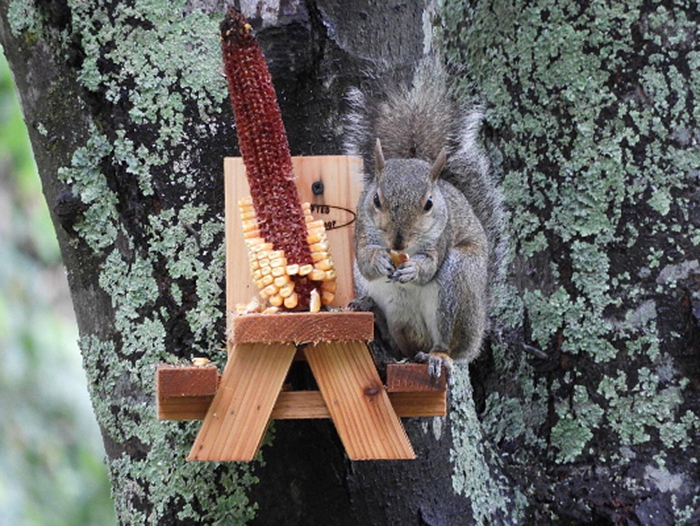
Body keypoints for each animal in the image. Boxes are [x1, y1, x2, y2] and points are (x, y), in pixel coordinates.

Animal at [346, 59, 504, 382]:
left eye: (429, 204)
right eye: (376, 199)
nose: (397, 241)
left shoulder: (442, 238)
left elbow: (428, 267)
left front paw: (413, 269)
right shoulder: (361, 231)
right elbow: (366, 259)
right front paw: (380, 259)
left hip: (459, 279)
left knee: (446, 344)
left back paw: (438, 357)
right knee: (401, 344)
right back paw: (374, 314)